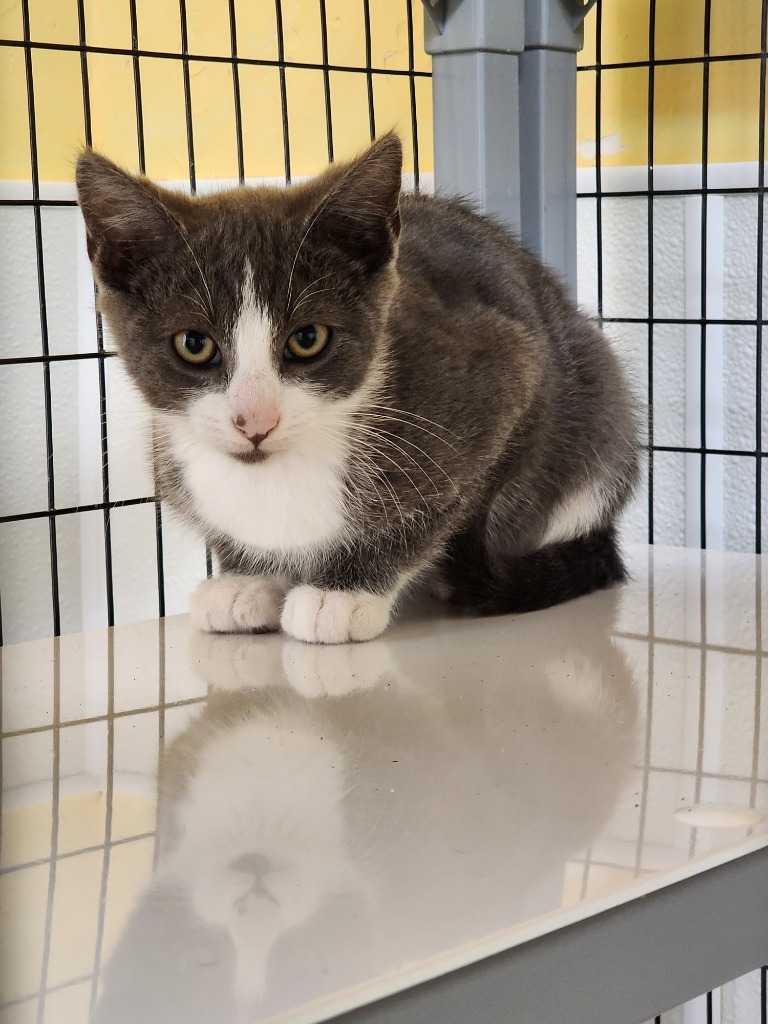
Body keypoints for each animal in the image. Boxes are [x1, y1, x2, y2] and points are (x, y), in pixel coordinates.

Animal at [75, 132, 638, 643]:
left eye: (308, 338)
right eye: (194, 344)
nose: (255, 420)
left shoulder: (509, 369)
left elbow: (447, 504)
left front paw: (343, 592)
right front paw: (247, 578)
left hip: (595, 405)